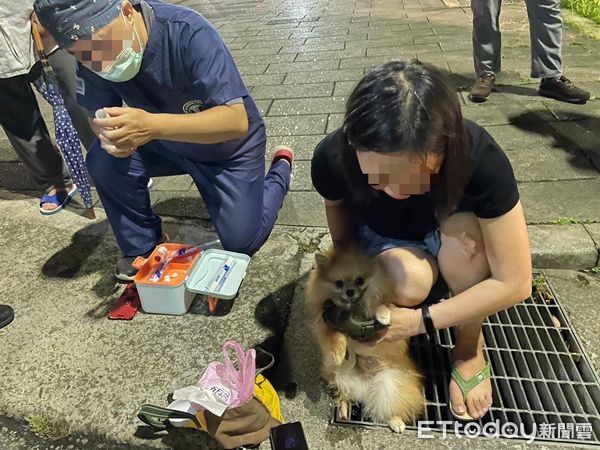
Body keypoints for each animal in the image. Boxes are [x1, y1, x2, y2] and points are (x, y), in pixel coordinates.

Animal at [308, 248, 424, 430]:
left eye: (359, 280)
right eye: (339, 283)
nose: (350, 291)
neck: (353, 308)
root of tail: (364, 389)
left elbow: (381, 304)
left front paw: (383, 314)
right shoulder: (325, 322)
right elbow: (333, 334)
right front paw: (338, 351)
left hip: (389, 383)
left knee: (391, 405)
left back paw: (396, 421)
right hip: (341, 376)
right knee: (344, 396)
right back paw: (344, 412)